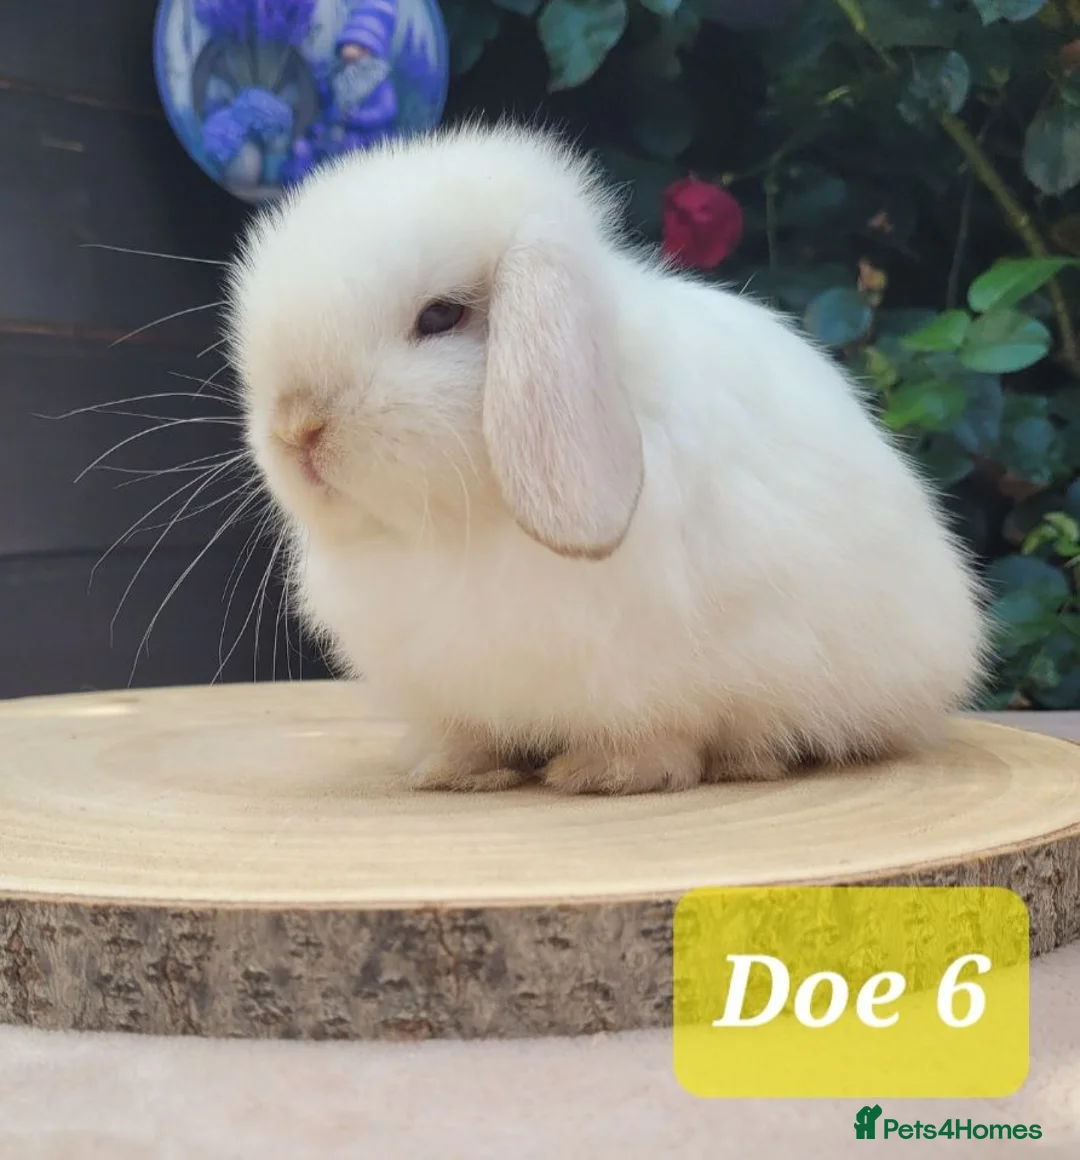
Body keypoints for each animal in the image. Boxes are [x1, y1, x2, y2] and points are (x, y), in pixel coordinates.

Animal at [225, 120, 990, 796]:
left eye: (440, 316)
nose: (297, 428)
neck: (458, 529)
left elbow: (661, 732)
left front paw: (609, 775)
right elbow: (470, 732)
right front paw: (451, 770)